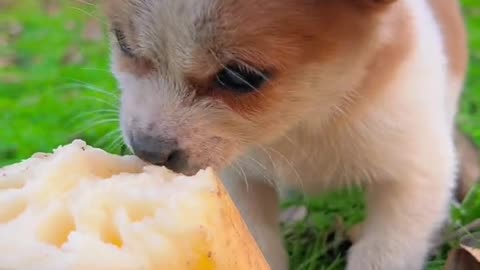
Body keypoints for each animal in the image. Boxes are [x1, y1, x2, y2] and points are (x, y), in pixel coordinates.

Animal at [103, 1, 466, 268]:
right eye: (122, 41)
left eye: (240, 77)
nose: (147, 149)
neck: (307, 118)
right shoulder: (241, 180)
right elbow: (257, 238)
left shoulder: (416, 177)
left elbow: (384, 252)